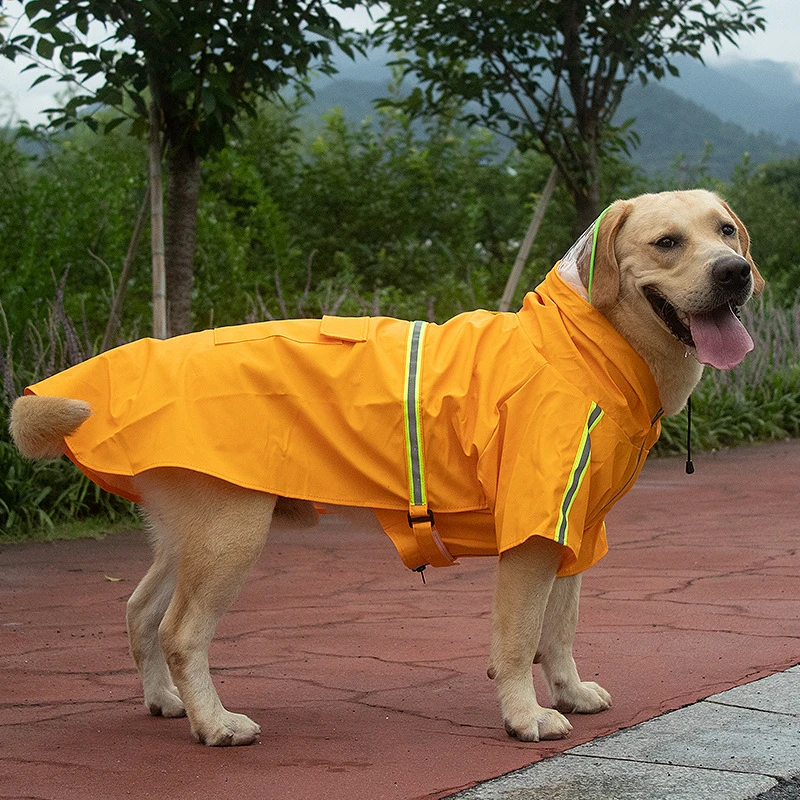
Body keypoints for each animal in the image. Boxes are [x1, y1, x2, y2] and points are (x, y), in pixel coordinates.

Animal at [10, 188, 764, 744]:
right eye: (668, 242)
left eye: (727, 231)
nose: (735, 272)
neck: (588, 344)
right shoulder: (531, 537)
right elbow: (520, 638)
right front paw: (525, 716)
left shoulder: (572, 529)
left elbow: (561, 629)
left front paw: (572, 691)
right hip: (230, 535)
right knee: (179, 632)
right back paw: (215, 724)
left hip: (188, 533)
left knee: (139, 611)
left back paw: (166, 703)